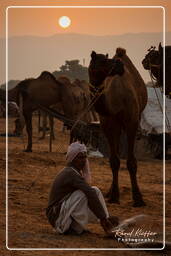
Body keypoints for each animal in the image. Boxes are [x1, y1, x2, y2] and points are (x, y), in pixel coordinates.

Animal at [88, 48, 147, 207]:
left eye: (106, 59)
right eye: (101, 61)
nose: (119, 65)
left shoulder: (131, 123)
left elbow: (131, 162)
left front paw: (138, 198)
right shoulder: (108, 125)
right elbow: (114, 160)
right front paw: (114, 196)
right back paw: (109, 192)